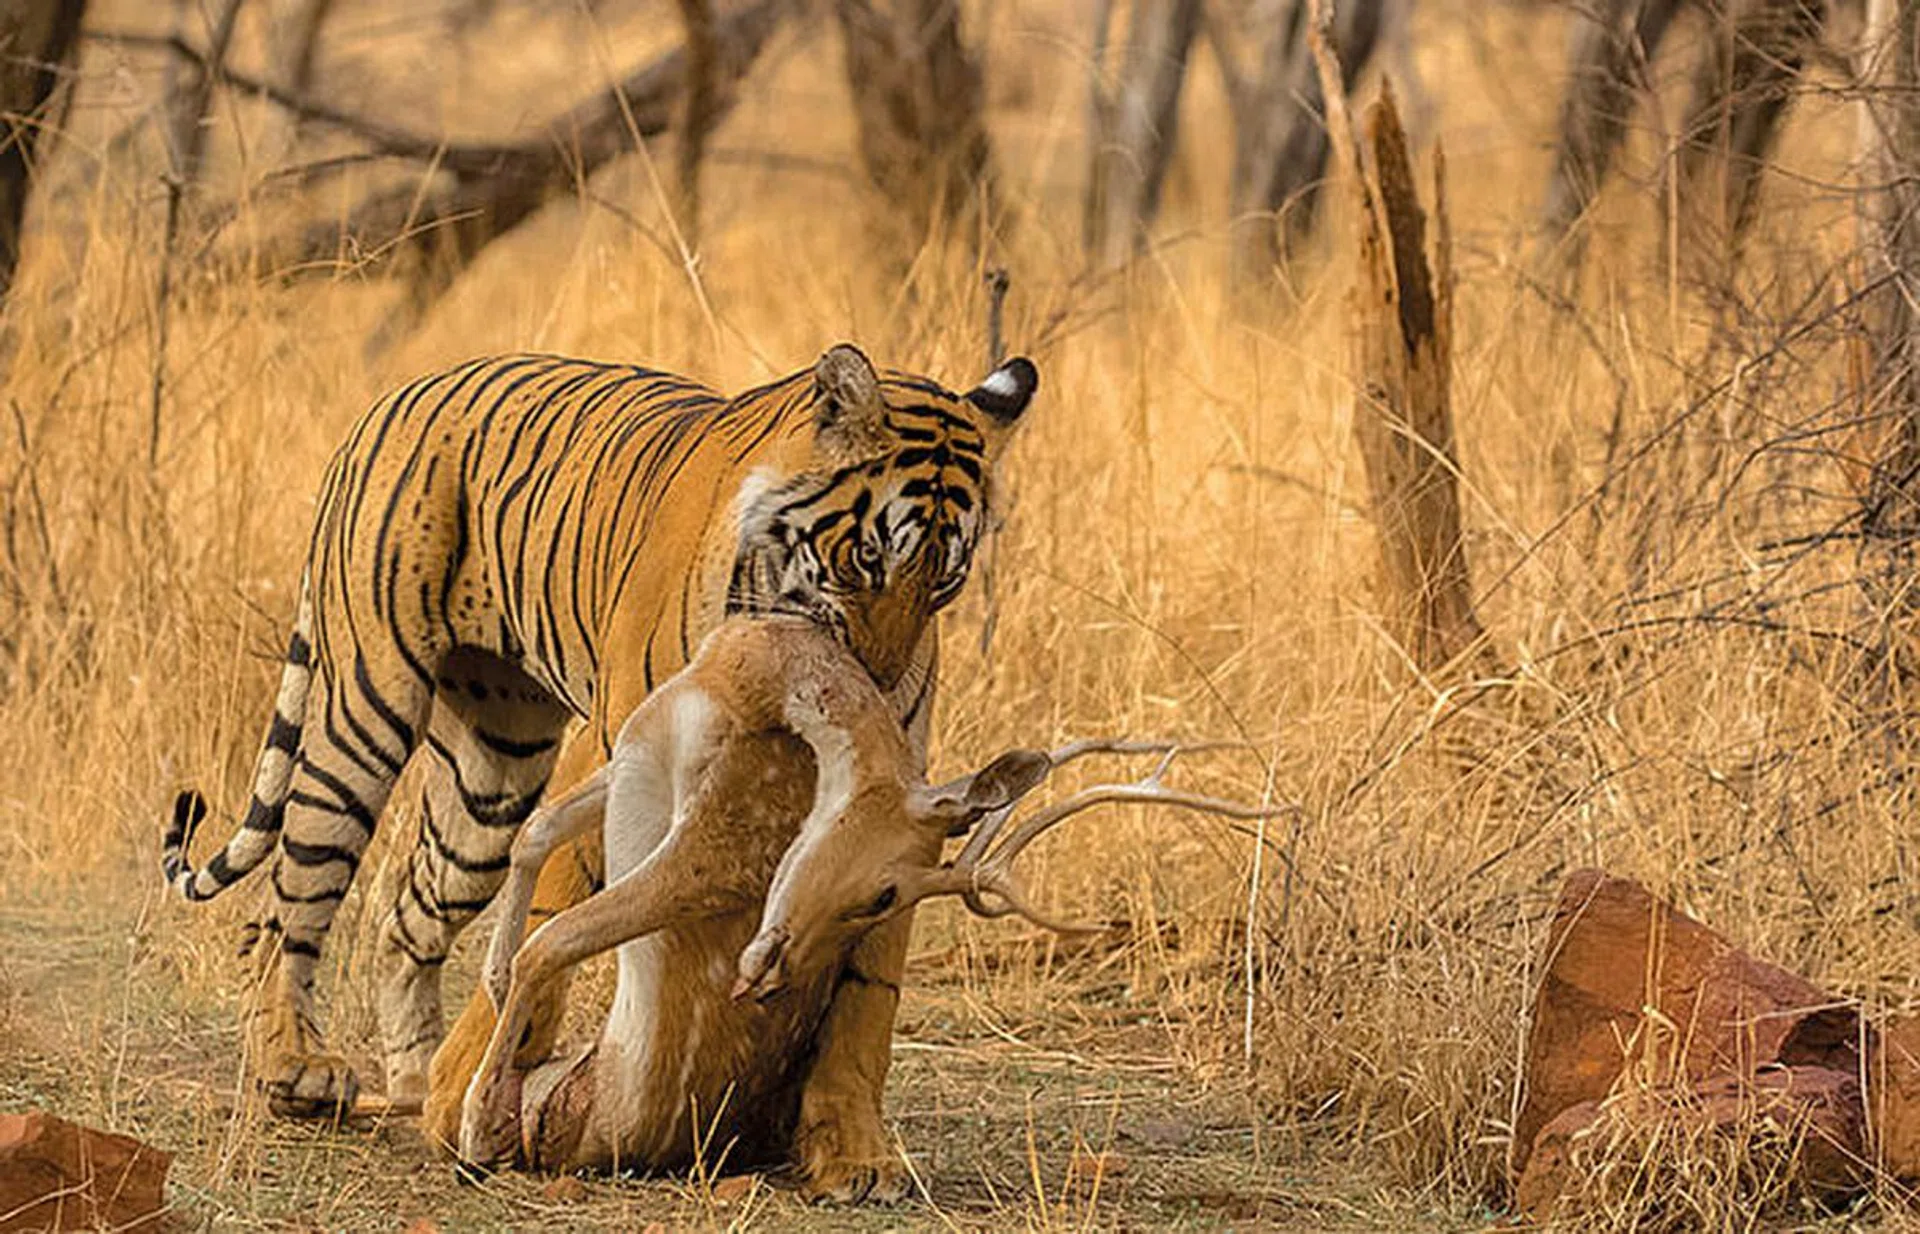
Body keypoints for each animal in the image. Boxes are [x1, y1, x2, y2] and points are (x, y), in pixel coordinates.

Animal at [160, 344, 1037, 1186]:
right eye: (862, 560)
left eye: (944, 583)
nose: (878, 685)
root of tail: (397, 394)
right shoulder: (622, 743)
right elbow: (551, 914)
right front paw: (478, 1095)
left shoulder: (891, 807)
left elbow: (869, 988)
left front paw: (856, 1158)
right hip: (364, 714)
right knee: (286, 903)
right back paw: (299, 1065)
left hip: (491, 777)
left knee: (407, 916)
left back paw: (410, 1079)